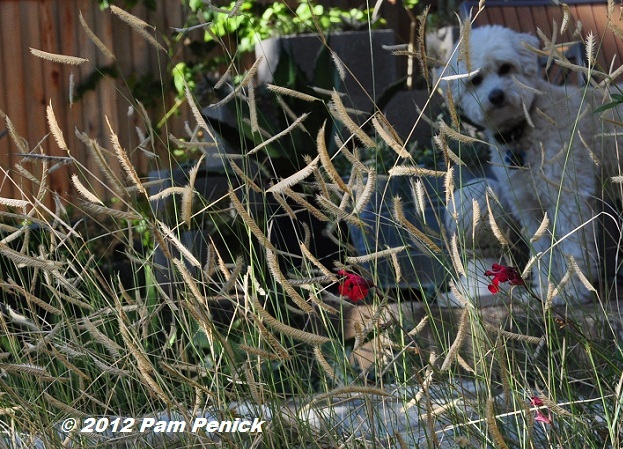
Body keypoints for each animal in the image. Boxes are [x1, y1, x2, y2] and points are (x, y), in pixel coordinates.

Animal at [438, 25, 623, 304]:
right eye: (475, 80)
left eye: (505, 68)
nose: (496, 95)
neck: (522, 130)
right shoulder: (529, 208)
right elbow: (543, 253)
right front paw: (546, 290)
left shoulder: (568, 199)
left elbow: (572, 249)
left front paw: (571, 292)